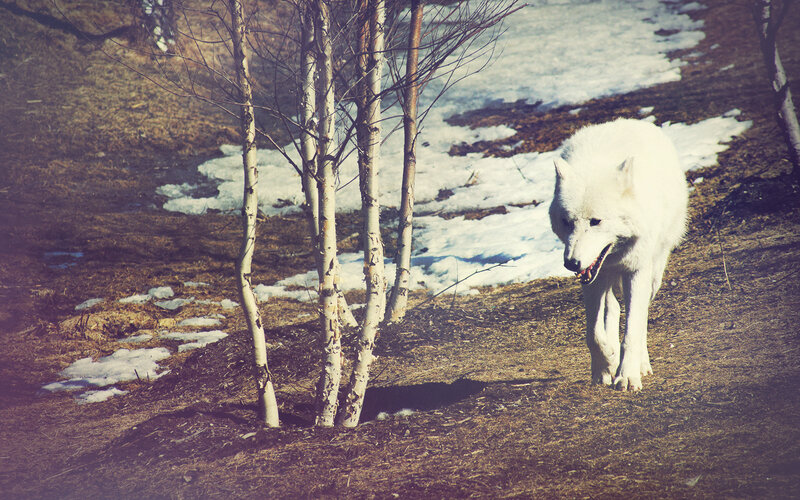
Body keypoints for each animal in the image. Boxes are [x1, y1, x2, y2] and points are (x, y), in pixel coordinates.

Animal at [549, 118, 688, 391]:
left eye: (595, 221)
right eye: (567, 222)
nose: (571, 263)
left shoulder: (636, 271)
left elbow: (632, 331)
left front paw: (627, 376)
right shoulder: (591, 277)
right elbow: (593, 334)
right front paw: (605, 367)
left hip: (653, 274)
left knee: (641, 317)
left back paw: (641, 363)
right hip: (606, 279)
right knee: (611, 309)